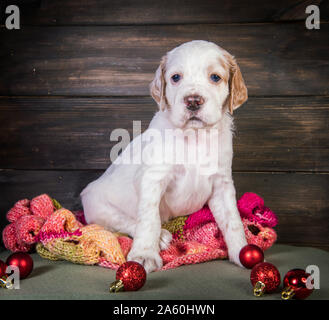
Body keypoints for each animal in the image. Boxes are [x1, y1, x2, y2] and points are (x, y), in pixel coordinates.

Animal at [80, 40, 247, 272]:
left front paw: (242, 250)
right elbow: (149, 219)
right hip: (96, 205)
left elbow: (233, 220)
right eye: (176, 77)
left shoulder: (222, 184)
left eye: (215, 77)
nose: (193, 101)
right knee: (123, 222)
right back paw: (160, 237)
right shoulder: (153, 179)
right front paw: (144, 255)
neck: (194, 137)